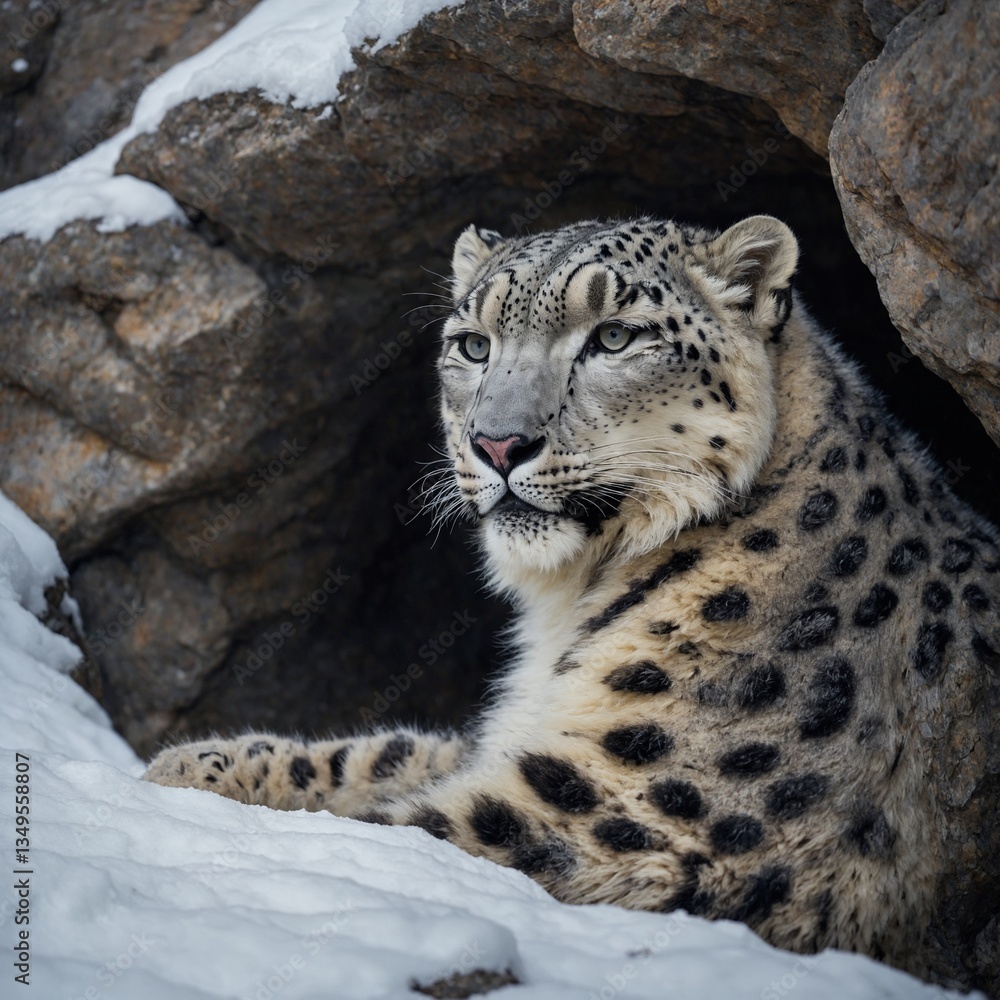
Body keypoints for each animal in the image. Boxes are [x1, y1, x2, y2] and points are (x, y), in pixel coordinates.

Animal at [144, 215, 1000, 982]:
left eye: (615, 337)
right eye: (473, 345)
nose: (498, 443)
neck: (573, 607)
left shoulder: (625, 818)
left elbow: (400, 828)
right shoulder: (523, 746)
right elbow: (400, 752)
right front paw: (192, 764)